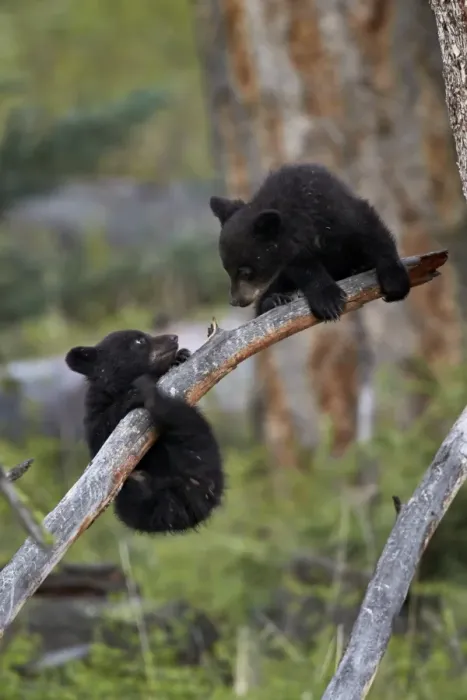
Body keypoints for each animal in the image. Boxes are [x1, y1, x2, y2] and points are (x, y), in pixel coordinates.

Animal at [65, 330, 225, 535]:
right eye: (139, 341)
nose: (174, 338)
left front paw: (181, 356)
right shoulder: (95, 419)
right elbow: (104, 431)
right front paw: (134, 394)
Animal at [209, 162, 411, 321]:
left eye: (245, 272)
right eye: (227, 270)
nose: (235, 301)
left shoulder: (339, 210)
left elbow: (372, 231)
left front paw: (394, 281)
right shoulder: (291, 251)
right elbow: (305, 268)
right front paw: (329, 301)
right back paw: (274, 300)